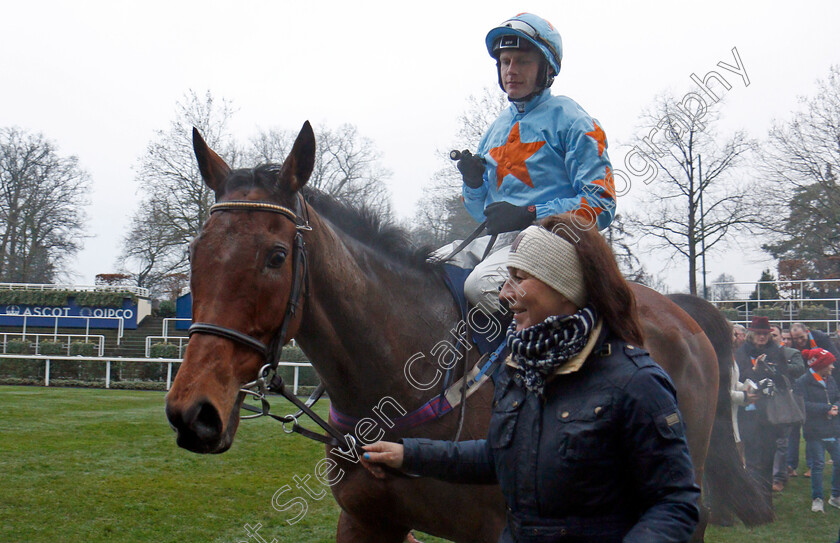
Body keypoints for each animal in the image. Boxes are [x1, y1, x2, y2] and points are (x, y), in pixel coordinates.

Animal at [166, 123, 776, 543]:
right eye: (195, 253)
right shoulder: (365, 522)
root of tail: (682, 310)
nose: (193, 411)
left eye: (275, 256)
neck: (404, 377)